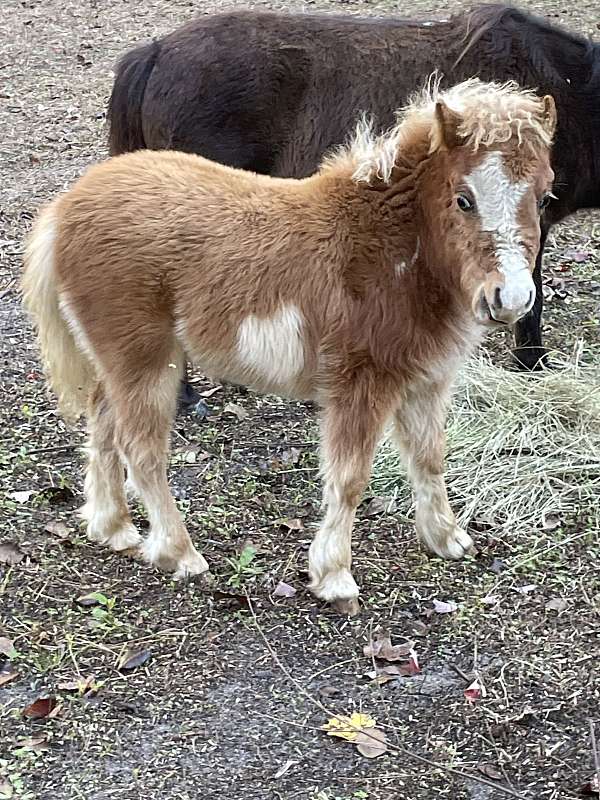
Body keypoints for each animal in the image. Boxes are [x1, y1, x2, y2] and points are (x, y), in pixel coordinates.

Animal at [23, 78, 556, 612]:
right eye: (463, 199)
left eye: (545, 197)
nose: (511, 299)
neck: (388, 249)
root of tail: (65, 210)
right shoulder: (359, 383)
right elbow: (349, 479)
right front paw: (335, 577)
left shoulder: (427, 380)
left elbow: (429, 458)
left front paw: (446, 538)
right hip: (145, 361)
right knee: (142, 451)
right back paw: (180, 553)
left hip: (115, 361)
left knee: (102, 427)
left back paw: (113, 528)